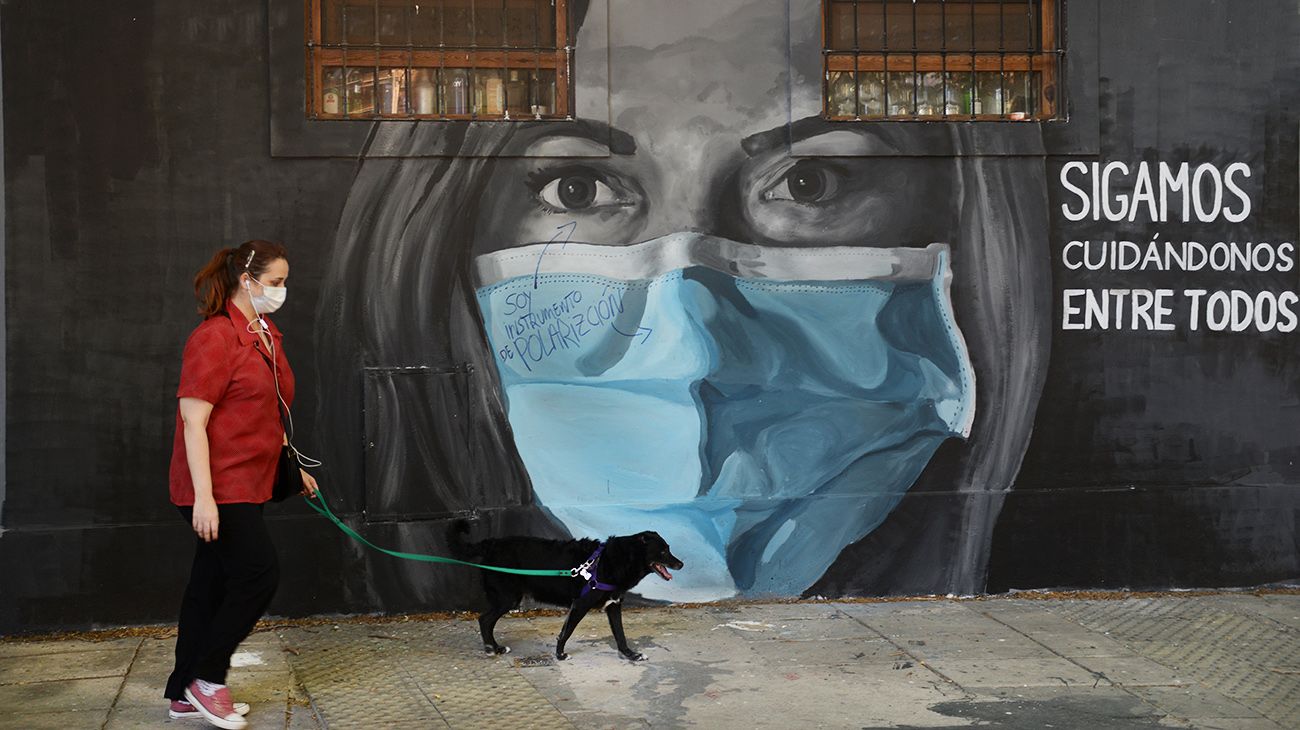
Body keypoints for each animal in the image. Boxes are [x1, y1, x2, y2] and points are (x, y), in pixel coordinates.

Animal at [452, 522, 686, 659]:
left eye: (669, 549)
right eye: (663, 551)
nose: (681, 564)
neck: (614, 560)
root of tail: (490, 543)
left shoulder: (614, 605)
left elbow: (620, 635)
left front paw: (630, 655)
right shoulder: (580, 604)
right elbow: (566, 631)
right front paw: (560, 654)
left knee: (486, 620)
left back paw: (494, 647)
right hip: (508, 598)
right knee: (484, 620)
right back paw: (493, 648)